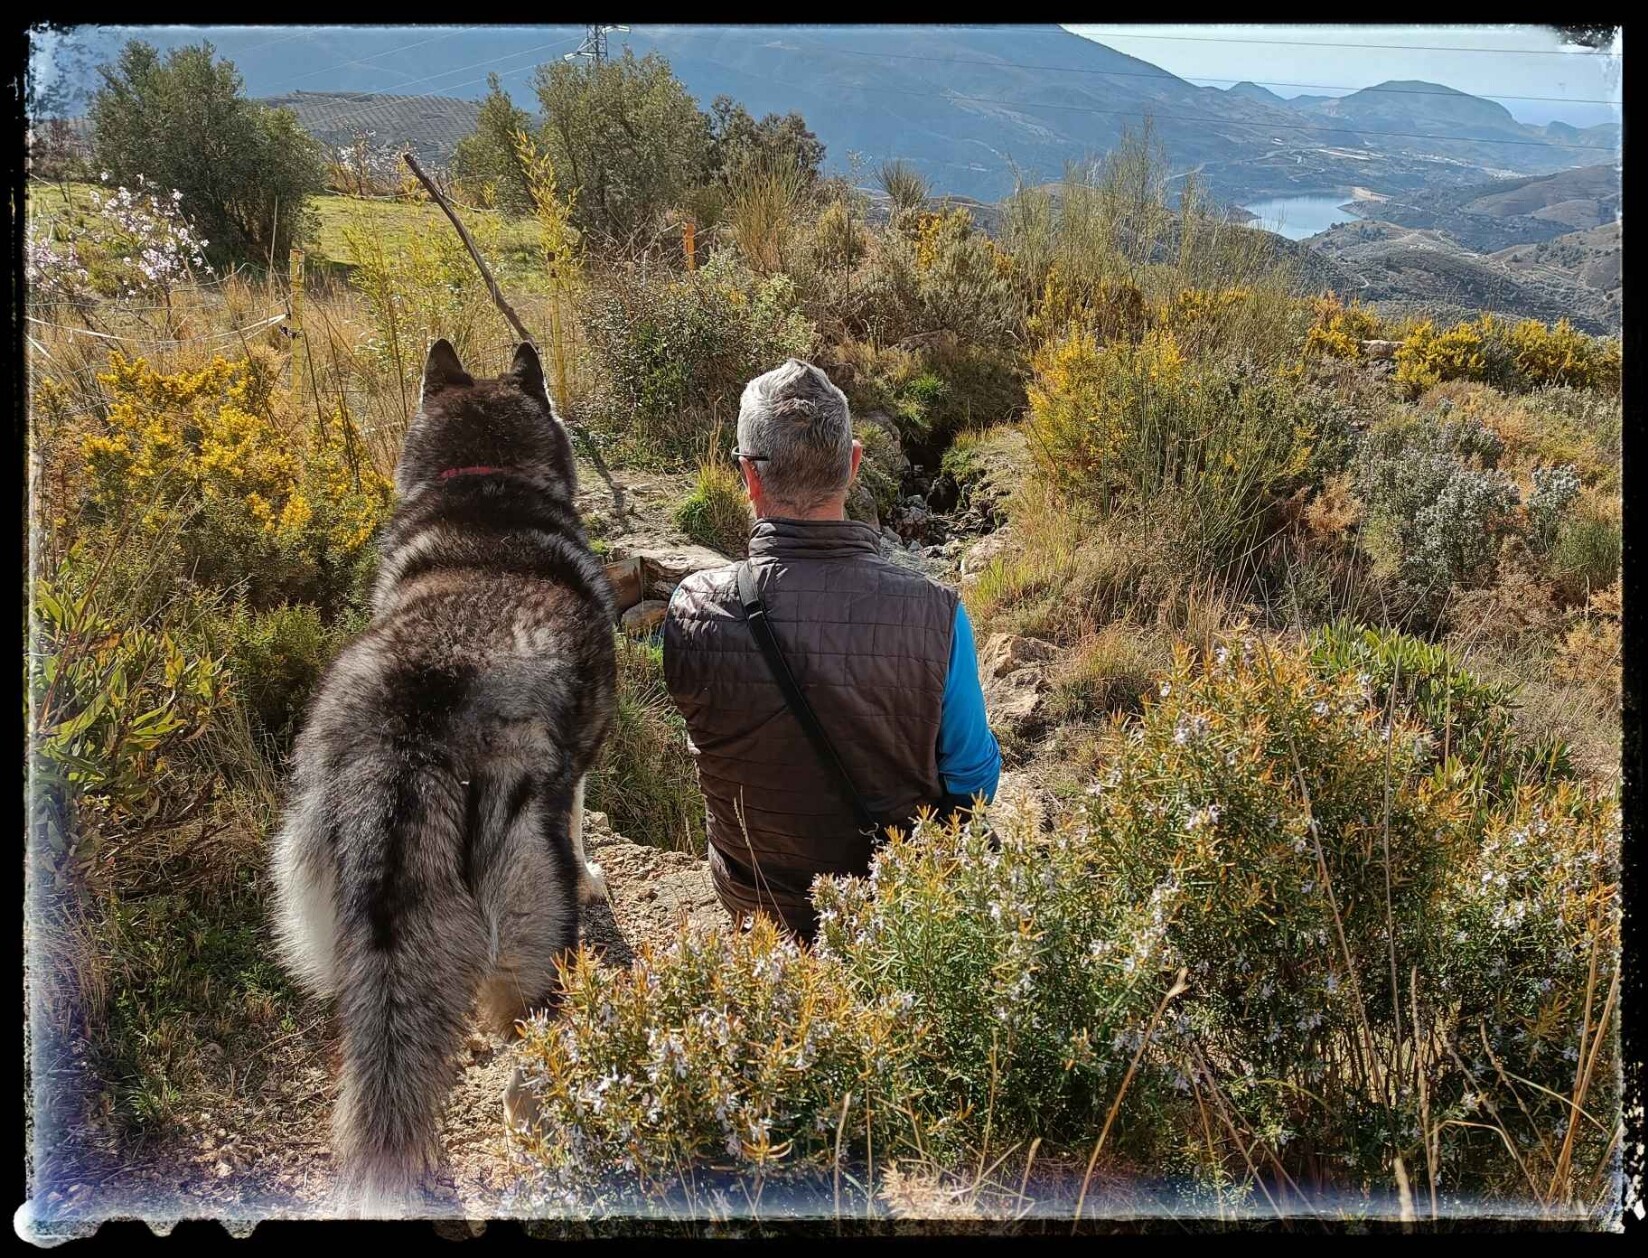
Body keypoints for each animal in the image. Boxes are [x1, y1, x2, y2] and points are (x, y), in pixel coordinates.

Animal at [270, 339, 619, 1213]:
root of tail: (410, 737)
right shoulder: (580, 767)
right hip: (532, 924)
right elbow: (582, 819)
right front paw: (596, 871)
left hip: (325, 922)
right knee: (524, 1048)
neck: (485, 491)